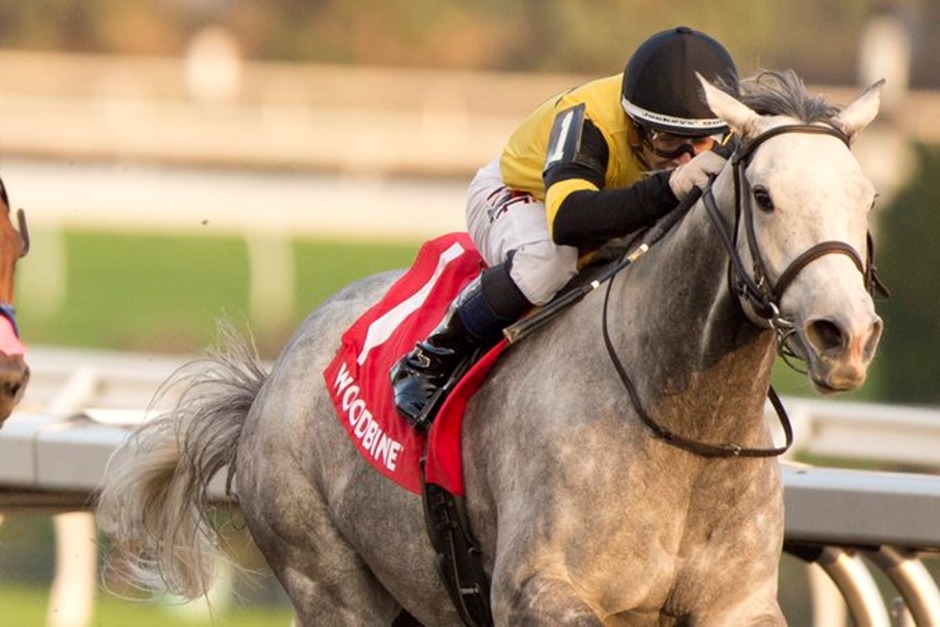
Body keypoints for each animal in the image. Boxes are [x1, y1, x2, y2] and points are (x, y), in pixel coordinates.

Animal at [97, 70, 884, 626]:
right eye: (764, 195)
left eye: (868, 197)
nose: (844, 335)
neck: (683, 427)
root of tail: (270, 381)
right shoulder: (535, 590)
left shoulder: (737, 605)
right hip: (331, 582)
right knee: (534, 262)